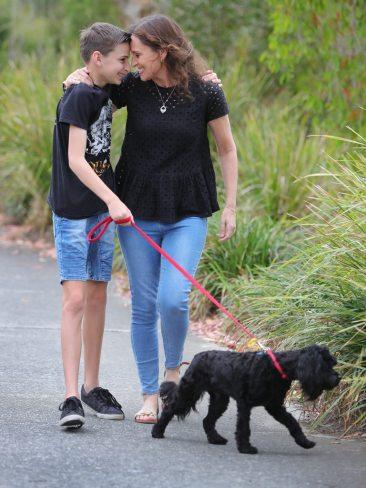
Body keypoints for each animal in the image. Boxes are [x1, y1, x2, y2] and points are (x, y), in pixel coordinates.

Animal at [152, 344, 340, 454]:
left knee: (208, 420)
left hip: (219, 400)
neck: (278, 367)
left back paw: (216, 439)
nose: (337, 378)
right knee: (170, 408)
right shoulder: (245, 404)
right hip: (189, 391)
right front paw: (245, 448)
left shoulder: (275, 406)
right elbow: (244, 428)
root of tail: (197, 357)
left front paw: (304, 442)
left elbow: (292, 423)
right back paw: (157, 431)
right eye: (325, 365)